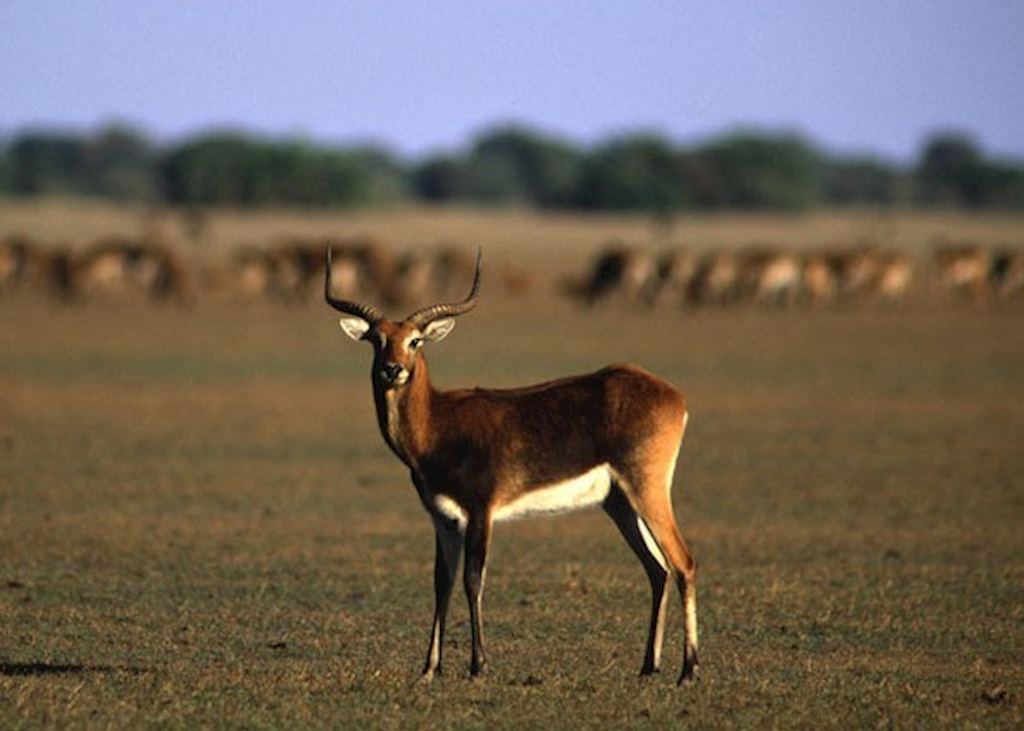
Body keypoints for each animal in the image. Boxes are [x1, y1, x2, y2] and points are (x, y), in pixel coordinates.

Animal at [323, 246, 700, 683]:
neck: (437, 424)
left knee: (683, 563)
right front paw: (429, 669)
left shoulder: (480, 512)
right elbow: (441, 583)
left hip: (647, 490)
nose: (392, 369)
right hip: (619, 504)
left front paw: (478, 665)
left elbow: (473, 581)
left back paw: (688, 671)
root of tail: (673, 395)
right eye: (377, 339)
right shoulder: (443, 519)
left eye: (415, 341)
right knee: (657, 570)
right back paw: (648, 667)